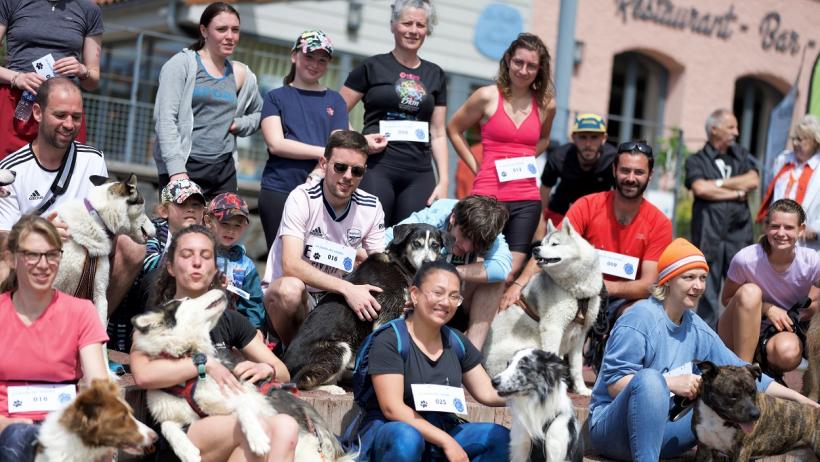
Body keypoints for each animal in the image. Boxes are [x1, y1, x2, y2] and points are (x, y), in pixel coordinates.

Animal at [284, 224, 448, 394]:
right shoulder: (387, 315)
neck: (398, 265)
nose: (427, 262)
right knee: (301, 381)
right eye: (416, 243)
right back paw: (332, 388)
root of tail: (286, 365)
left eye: (435, 245)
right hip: (340, 349)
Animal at [692, 360, 820, 462]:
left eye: (753, 391)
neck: (715, 417)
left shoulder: (741, 451)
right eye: (732, 395)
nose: (756, 414)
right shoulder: (704, 449)